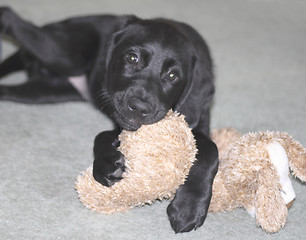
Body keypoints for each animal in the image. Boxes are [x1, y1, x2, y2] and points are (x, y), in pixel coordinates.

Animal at [0, 7, 220, 232]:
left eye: (173, 75)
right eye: (132, 58)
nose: (139, 107)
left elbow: (211, 149)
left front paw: (189, 205)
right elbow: (100, 135)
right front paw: (105, 164)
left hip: (47, 90)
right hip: (64, 55)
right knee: (12, 19)